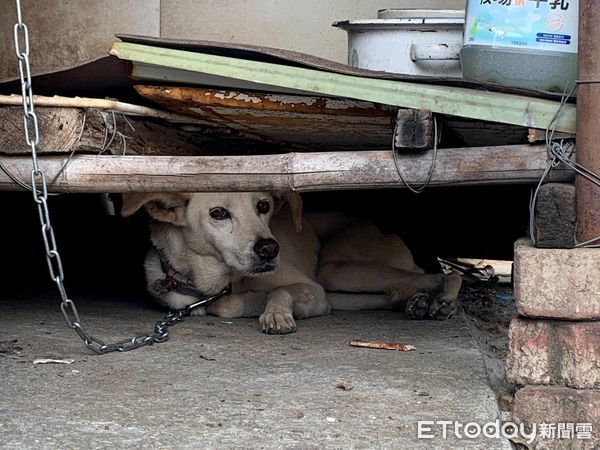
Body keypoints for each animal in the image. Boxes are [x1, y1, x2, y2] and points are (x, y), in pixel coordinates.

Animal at [120, 191, 460, 334]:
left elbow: (274, 291)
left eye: (263, 206)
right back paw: (415, 302)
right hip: (341, 289)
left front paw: (275, 313)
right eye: (218, 213)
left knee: (441, 274)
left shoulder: (314, 291)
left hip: (336, 273)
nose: (270, 248)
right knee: (396, 290)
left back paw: (443, 301)